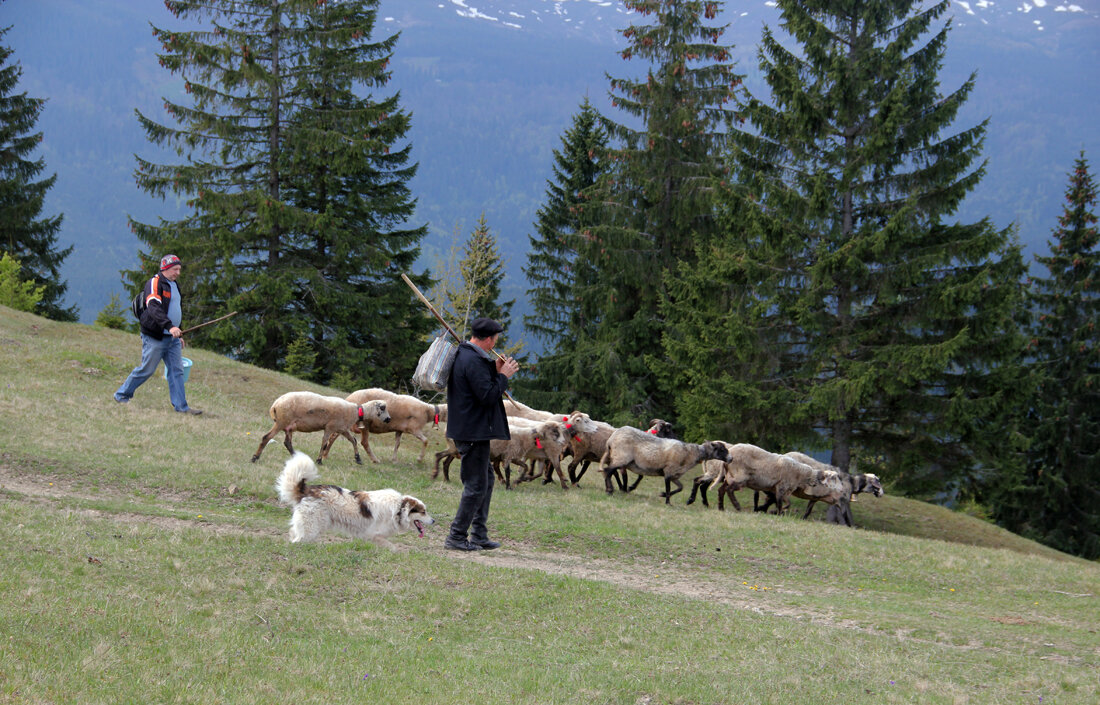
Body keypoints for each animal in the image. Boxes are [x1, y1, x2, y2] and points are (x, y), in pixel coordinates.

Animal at [250, 393, 391, 464]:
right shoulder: (330, 427)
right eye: (383, 408)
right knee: (266, 437)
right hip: (281, 422)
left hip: (288, 426)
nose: (389, 419)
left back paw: (296, 457)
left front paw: (358, 459)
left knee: (287, 442)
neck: (356, 412)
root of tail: (275, 405)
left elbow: (354, 441)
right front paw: (319, 460)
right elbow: (324, 444)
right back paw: (255, 457)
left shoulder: (342, 429)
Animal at [275, 450, 433, 549]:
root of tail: (307, 490)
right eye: (423, 512)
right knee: (297, 541)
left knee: (293, 534)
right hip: (311, 529)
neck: (399, 509)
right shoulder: (373, 535)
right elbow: (392, 548)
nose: (434, 520)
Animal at [602, 426, 730, 503]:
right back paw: (610, 490)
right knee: (608, 471)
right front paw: (668, 502)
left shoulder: (674, 474)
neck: (691, 453)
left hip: (618, 459)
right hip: (621, 458)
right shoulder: (668, 471)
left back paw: (611, 489)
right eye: (722, 449)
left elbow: (680, 488)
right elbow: (669, 488)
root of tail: (611, 438)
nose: (731, 458)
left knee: (609, 472)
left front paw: (663, 495)